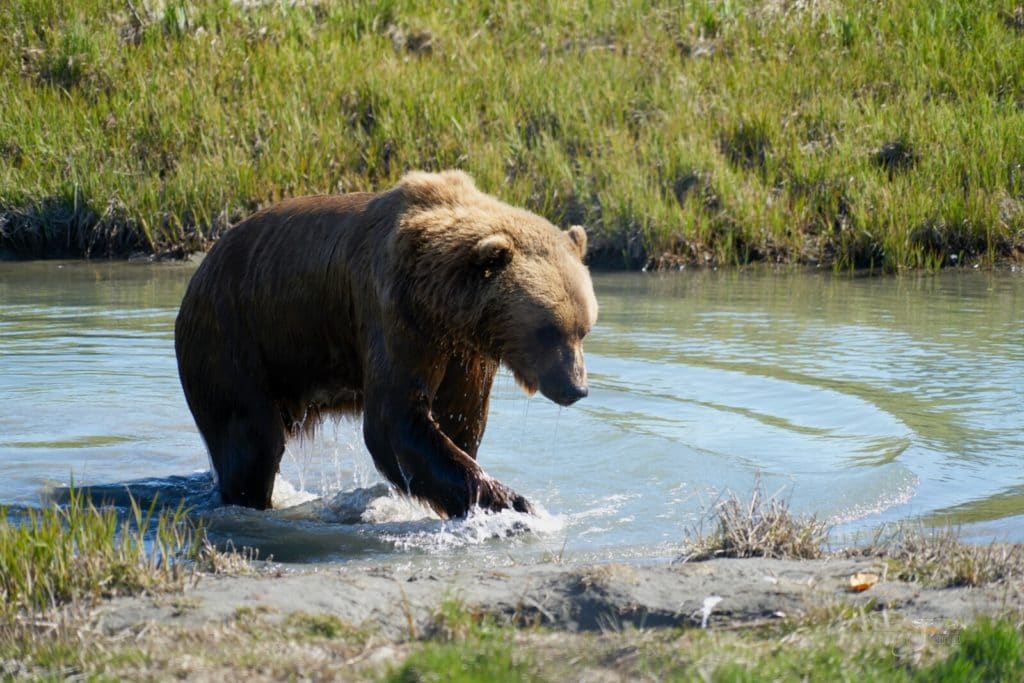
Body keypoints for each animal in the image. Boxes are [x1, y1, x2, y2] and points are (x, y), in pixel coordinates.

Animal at [173, 171, 598, 518]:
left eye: (584, 328)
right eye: (548, 329)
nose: (575, 387)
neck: (445, 306)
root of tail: (199, 271)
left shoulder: (466, 354)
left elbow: (458, 419)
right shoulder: (396, 314)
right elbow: (394, 421)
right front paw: (513, 501)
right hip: (234, 338)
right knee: (251, 439)